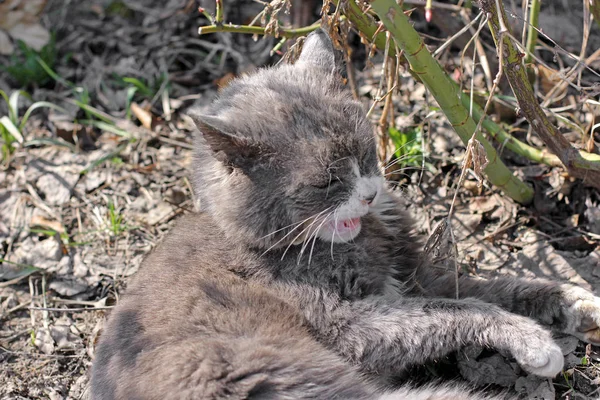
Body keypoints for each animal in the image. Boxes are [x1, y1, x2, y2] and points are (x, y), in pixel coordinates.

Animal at [89, 28, 600, 400]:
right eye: (325, 182)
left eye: (366, 150)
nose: (371, 194)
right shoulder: (350, 326)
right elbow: (457, 309)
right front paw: (533, 341)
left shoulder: (419, 275)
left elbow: (496, 288)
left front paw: (579, 302)